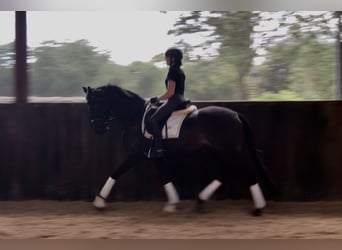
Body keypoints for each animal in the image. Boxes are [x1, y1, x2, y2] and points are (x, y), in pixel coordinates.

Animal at [83, 84, 276, 215]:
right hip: (220, 151)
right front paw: (172, 204)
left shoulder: (136, 154)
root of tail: (235, 114)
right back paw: (201, 200)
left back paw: (258, 207)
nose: (99, 129)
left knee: (246, 170)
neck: (135, 117)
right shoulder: (154, 156)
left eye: (97, 105)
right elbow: (164, 177)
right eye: (89, 106)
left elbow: (116, 172)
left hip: (229, 151)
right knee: (224, 172)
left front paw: (99, 202)